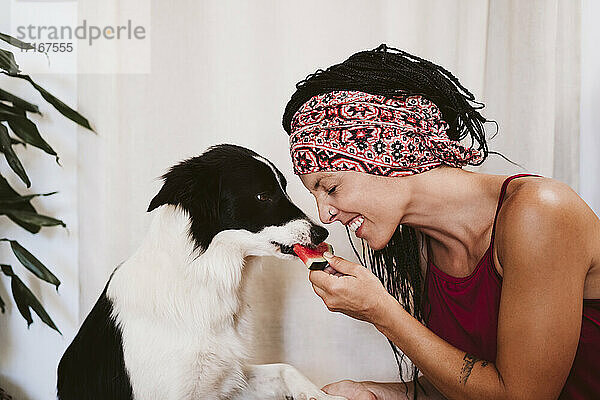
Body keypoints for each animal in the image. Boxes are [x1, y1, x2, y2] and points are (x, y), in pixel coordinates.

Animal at [57, 145, 346, 400]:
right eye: (263, 195)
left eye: (284, 189)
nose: (322, 233)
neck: (205, 278)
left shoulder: (227, 377)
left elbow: (285, 368)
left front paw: (325, 396)